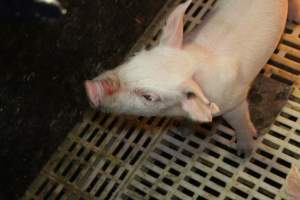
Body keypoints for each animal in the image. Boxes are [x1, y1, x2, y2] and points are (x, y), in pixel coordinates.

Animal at [84, 0, 300, 156]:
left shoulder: (235, 101)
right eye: (135, 57)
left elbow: (241, 123)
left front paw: (244, 152)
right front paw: (183, 132)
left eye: (149, 97)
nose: (90, 87)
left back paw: (293, 20)